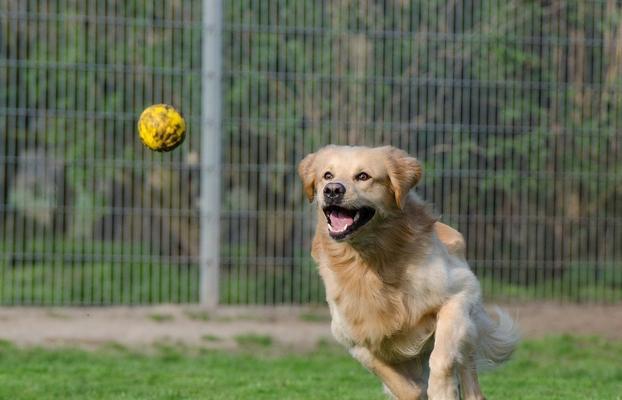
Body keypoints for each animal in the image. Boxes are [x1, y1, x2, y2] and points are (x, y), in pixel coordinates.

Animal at [300, 145, 520, 398]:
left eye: (363, 176)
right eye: (327, 175)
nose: (333, 190)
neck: (371, 261)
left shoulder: (460, 294)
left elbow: (442, 358)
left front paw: (441, 390)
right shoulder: (355, 341)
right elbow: (406, 387)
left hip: (468, 328)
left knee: (468, 374)